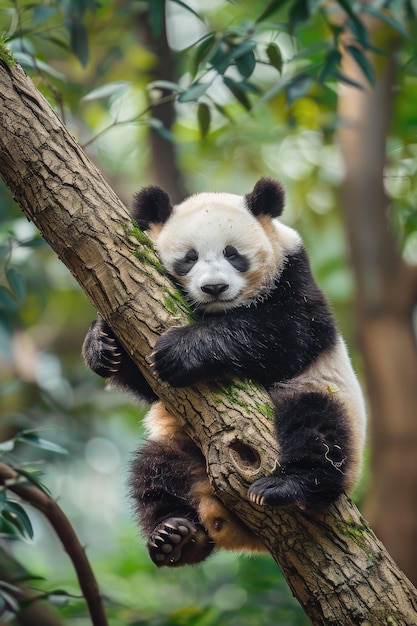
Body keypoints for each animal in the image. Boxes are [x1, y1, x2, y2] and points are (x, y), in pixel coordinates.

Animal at [83, 177, 366, 564]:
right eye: (189, 258)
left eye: (233, 254)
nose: (214, 287)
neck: (218, 311)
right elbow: (145, 381)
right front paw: (102, 346)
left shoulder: (295, 278)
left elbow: (283, 336)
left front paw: (182, 350)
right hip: (181, 446)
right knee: (153, 470)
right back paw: (175, 536)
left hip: (325, 399)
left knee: (318, 425)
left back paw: (289, 485)